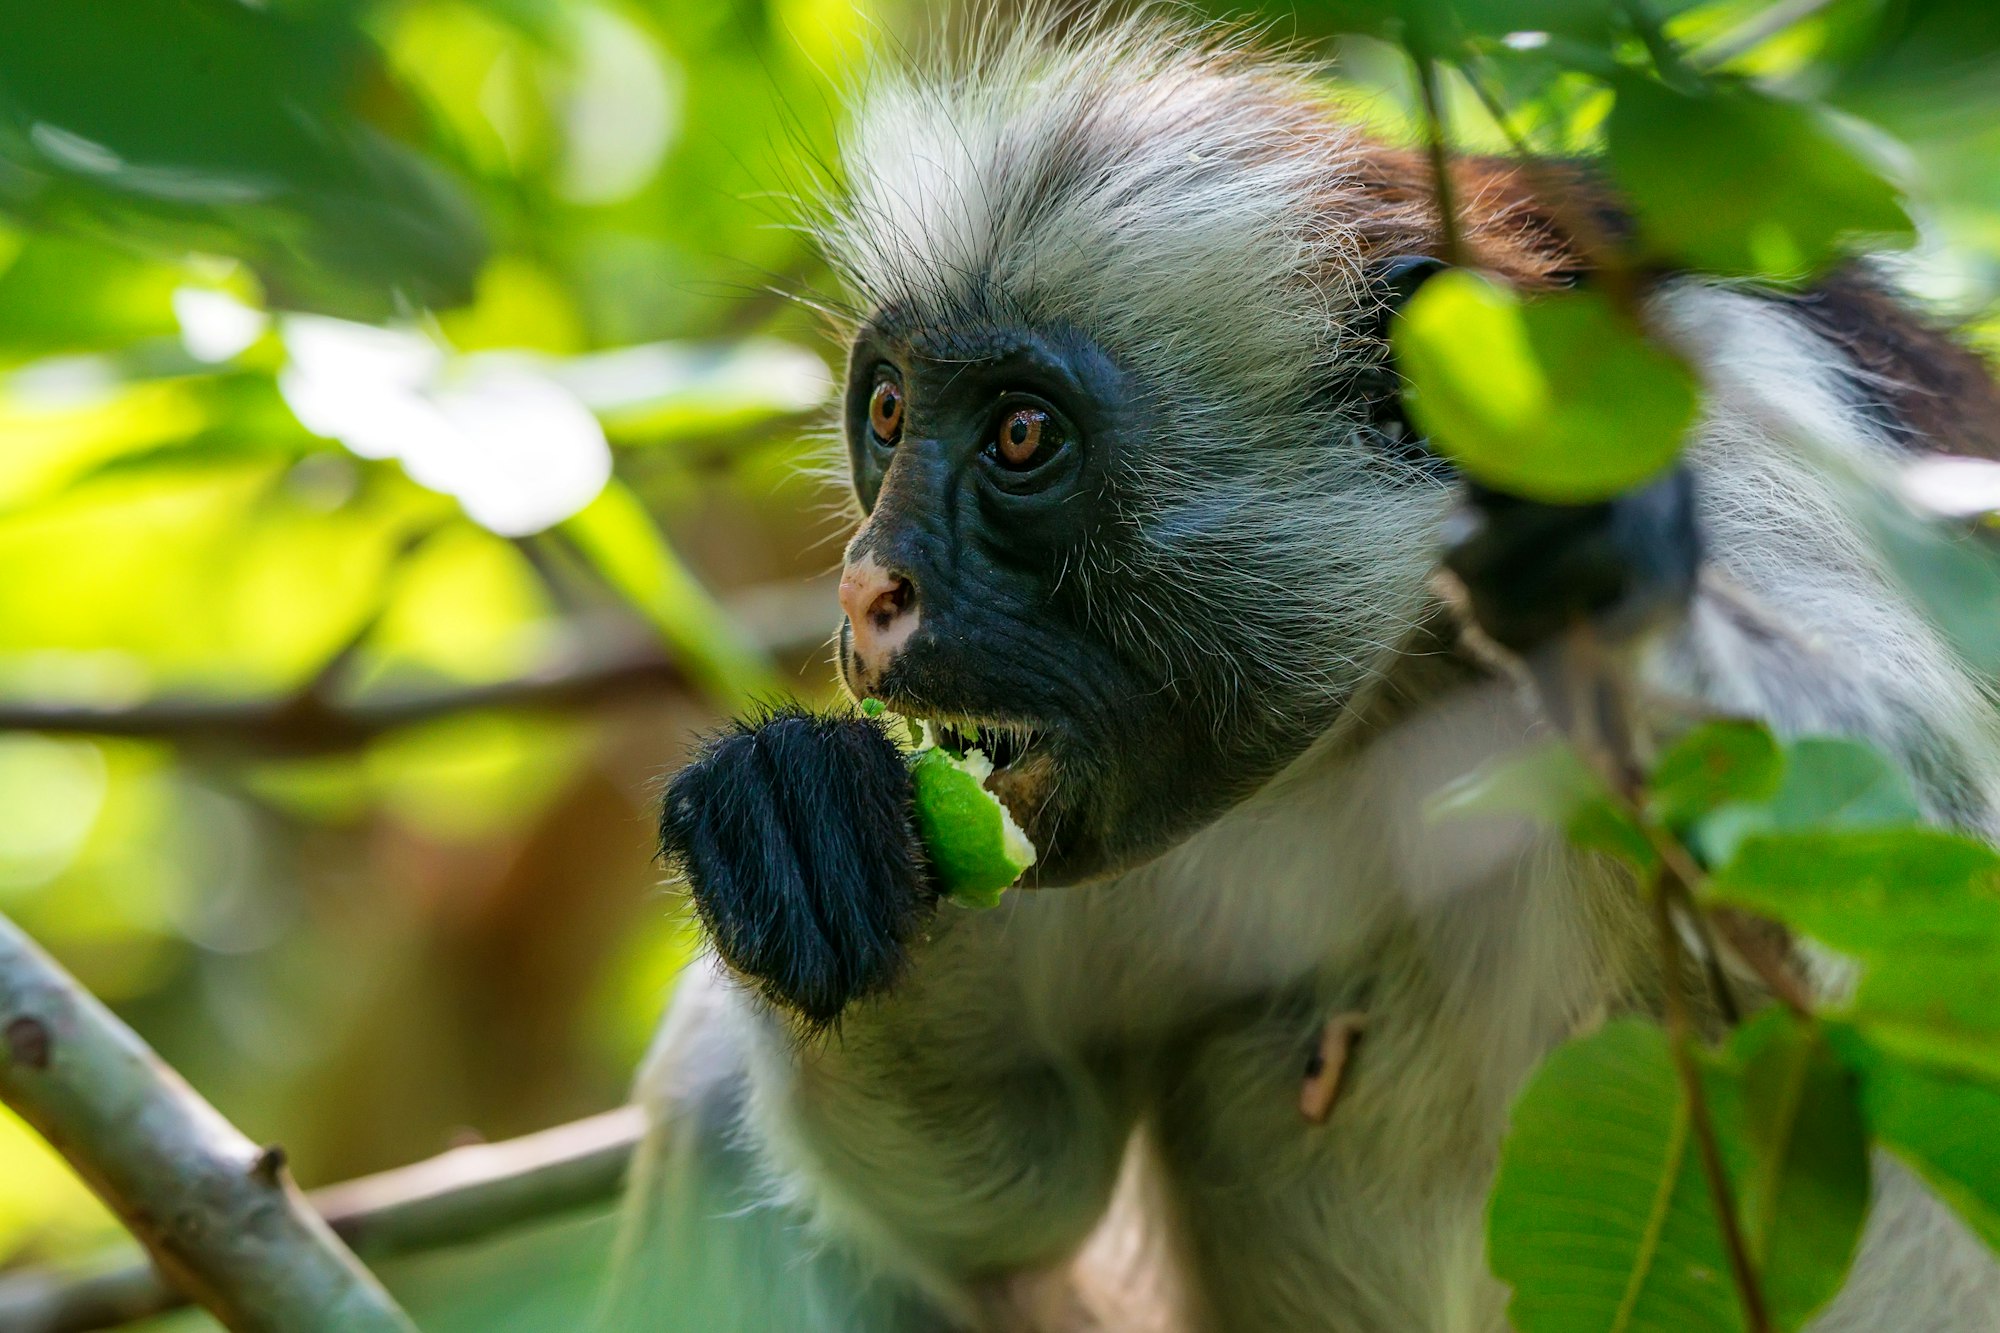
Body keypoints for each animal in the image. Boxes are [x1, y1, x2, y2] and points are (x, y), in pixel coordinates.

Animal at [600, 13, 2000, 1328]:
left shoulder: (1732, 444)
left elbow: (1934, 927)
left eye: (1020, 436)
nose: (866, 585)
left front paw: (1604, 581)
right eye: (886, 413)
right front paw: (792, 818)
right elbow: (1008, 1184)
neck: (1407, 696)